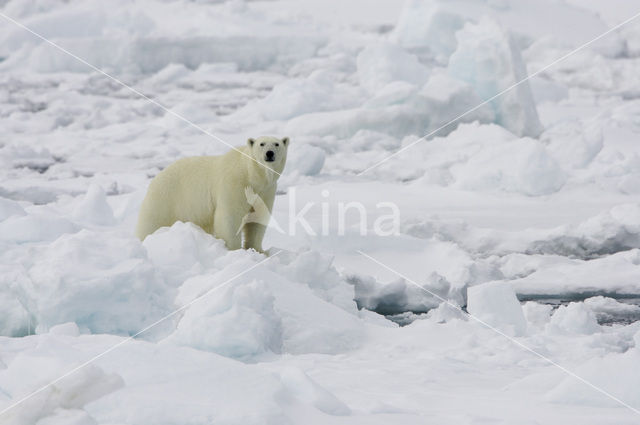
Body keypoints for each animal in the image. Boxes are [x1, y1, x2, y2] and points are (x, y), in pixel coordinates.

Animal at [136, 135, 288, 252]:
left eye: (277, 144)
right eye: (262, 144)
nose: (269, 153)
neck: (251, 174)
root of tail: (156, 178)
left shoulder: (266, 190)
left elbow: (258, 216)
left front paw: (258, 250)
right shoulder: (234, 184)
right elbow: (230, 217)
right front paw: (234, 249)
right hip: (166, 199)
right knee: (151, 223)